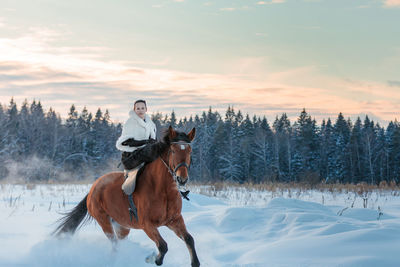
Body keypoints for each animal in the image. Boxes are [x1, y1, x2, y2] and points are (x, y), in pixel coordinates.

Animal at [54, 126, 200, 266]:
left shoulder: (174, 220)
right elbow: (163, 246)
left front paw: (195, 262)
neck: (163, 191)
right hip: (104, 222)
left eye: (190, 151)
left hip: (122, 226)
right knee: (114, 244)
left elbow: (189, 239)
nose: (182, 179)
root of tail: (93, 188)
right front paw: (151, 258)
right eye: (173, 151)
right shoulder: (147, 225)